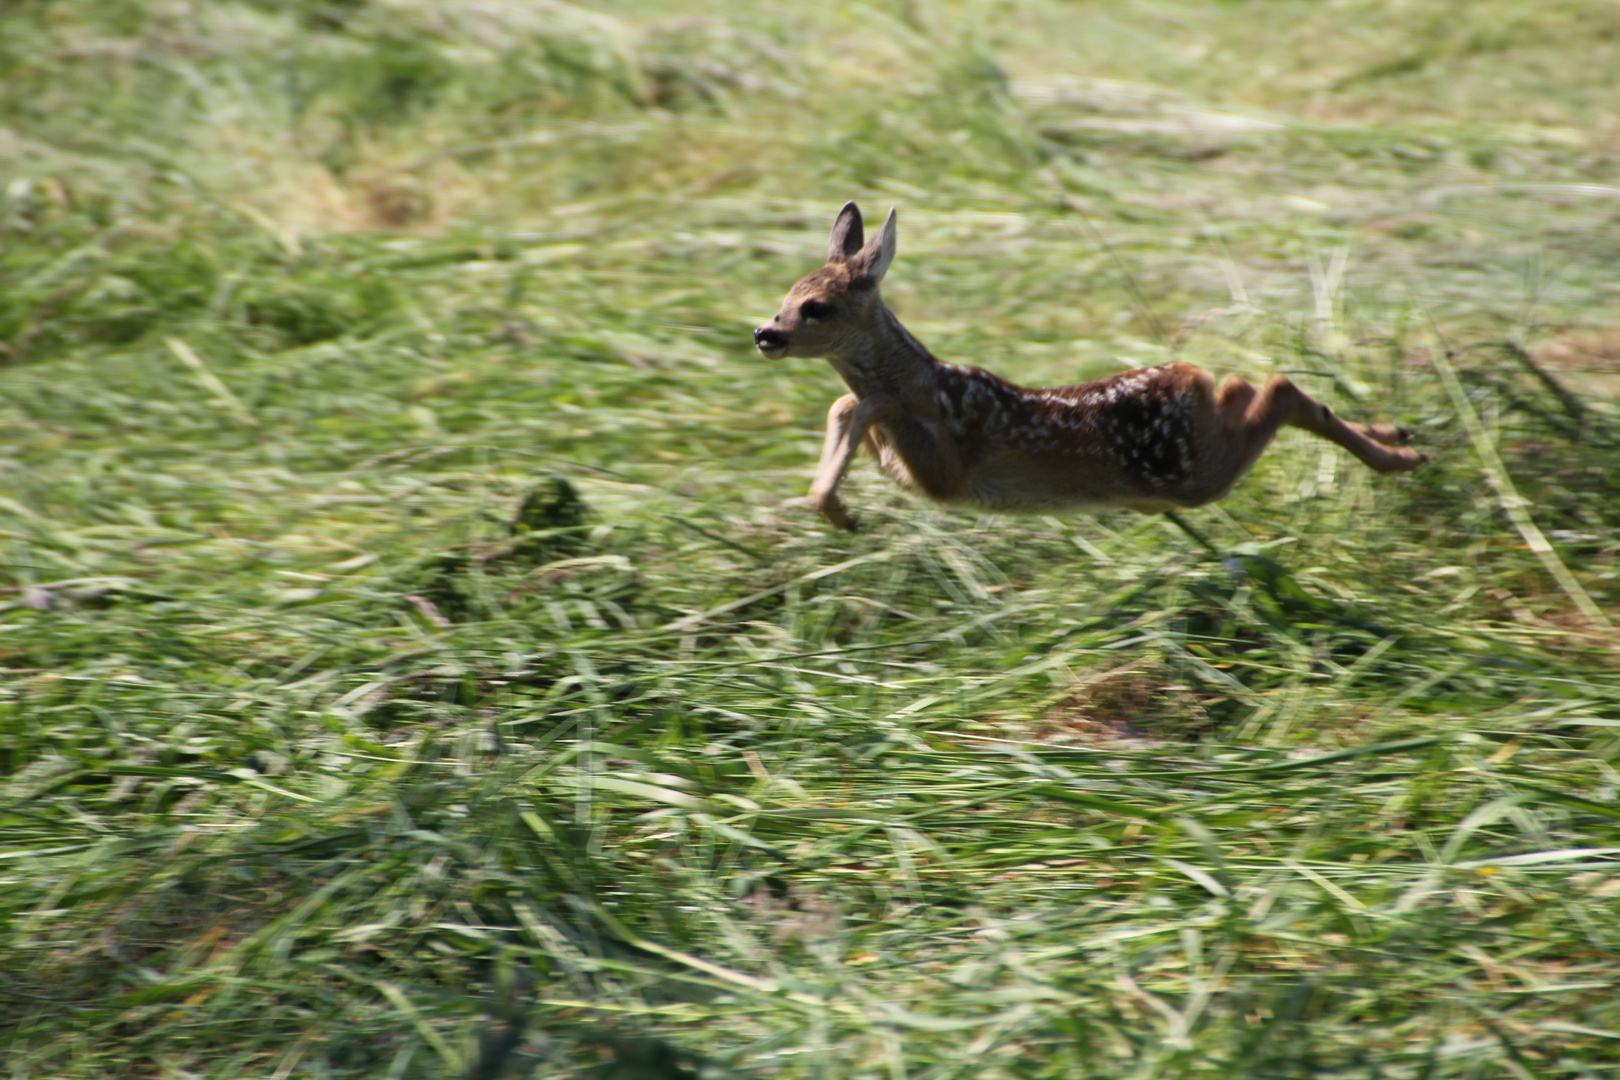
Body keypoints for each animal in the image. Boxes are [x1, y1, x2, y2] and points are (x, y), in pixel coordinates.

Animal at [751, 201, 1425, 531]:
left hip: (1190, 474)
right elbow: (845, 405)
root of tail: (1186, 379)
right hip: (1197, 449)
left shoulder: (947, 469)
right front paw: (836, 511)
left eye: (816, 307)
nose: (765, 333)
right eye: (785, 295)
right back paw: (1397, 435)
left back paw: (1400, 456)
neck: (922, 379)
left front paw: (838, 511)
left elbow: (866, 403)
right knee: (1247, 384)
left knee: (1280, 388)